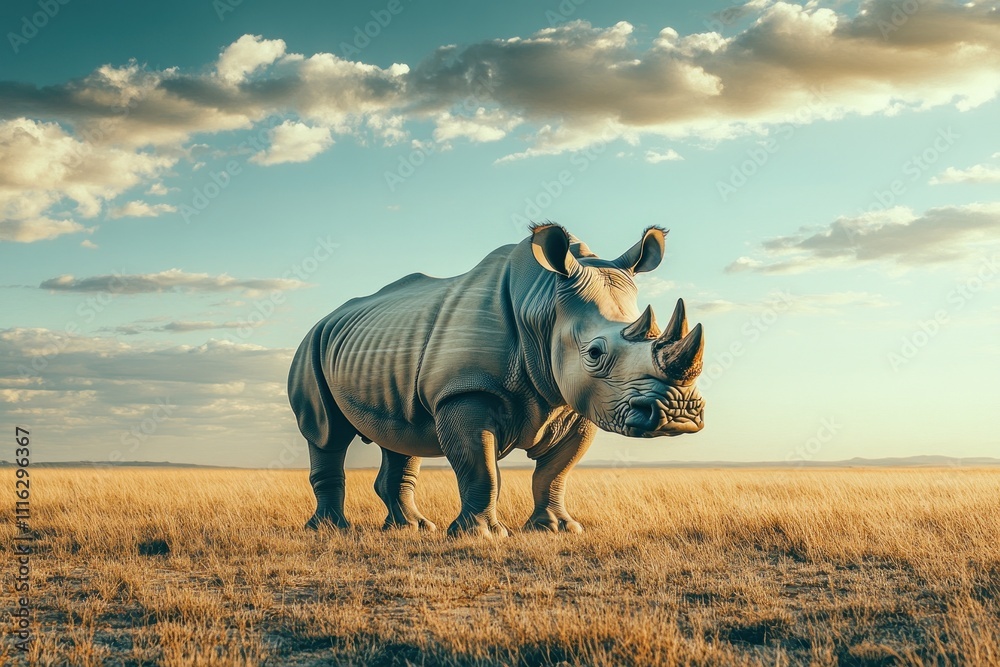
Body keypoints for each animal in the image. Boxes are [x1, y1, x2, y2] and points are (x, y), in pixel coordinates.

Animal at [287, 224, 705, 537]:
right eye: (594, 353)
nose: (678, 414)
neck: (543, 307)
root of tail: (327, 318)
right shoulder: (464, 391)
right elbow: (480, 468)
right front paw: (481, 535)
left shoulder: (577, 400)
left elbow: (556, 472)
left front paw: (556, 529)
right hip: (310, 346)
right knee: (326, 433)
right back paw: (330, 530)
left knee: (400, 438)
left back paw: (412, 528)